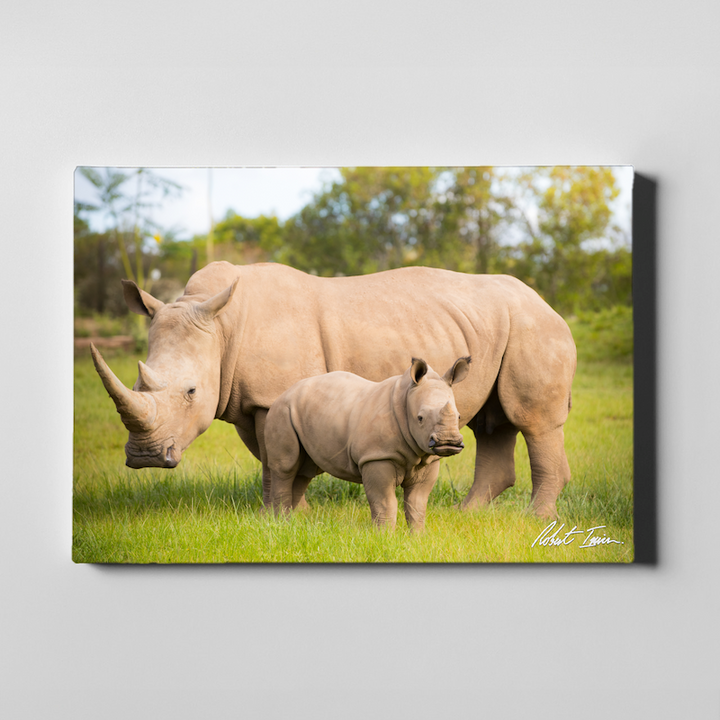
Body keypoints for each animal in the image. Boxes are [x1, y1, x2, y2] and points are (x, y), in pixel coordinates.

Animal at [266, 357, 470, 530]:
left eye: (459, 416)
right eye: (420, 418)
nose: (449, 441)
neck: (406, 398)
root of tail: (284, 393)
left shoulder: (428, 459)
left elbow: (417, 504)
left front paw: (418, 538)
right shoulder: (377, 456)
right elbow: (385, 502)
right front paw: (384, 537)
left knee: (304, 471)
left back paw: (292, 522)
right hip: (282, 410)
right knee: (286, 468)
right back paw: (281, 524)